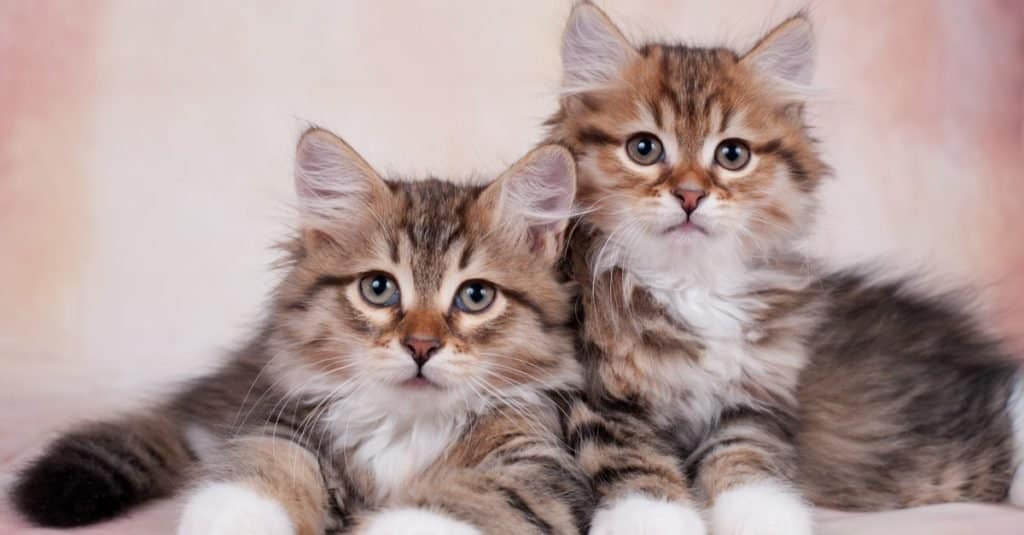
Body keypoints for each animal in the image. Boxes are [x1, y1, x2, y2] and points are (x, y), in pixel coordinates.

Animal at [12, 129, 593, 532]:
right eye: (379, 288)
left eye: (475, 296)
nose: (421, 346)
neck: (407, 431)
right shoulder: (287, 422)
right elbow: (261, 472)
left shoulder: (537, 467)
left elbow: (456, 508)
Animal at [544, 4, 1024, 532]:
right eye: (644, 149)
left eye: (732, 154)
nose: (690, 195)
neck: (691, 283)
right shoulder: (592, 395)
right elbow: (633, 459)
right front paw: (655, 520)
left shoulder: (756, 400)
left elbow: (747, 461)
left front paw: (762, 517)